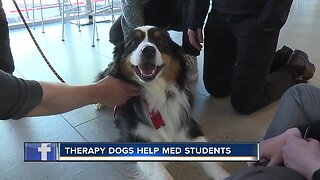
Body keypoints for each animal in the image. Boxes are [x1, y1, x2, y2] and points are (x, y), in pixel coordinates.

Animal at [96, 25, 229, 180]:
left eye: (160, 41)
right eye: (133, 42)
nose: (148, 50)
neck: (155, 92)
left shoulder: (186, 125)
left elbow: (211, 162)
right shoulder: (136, 137)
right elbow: (163, 174)